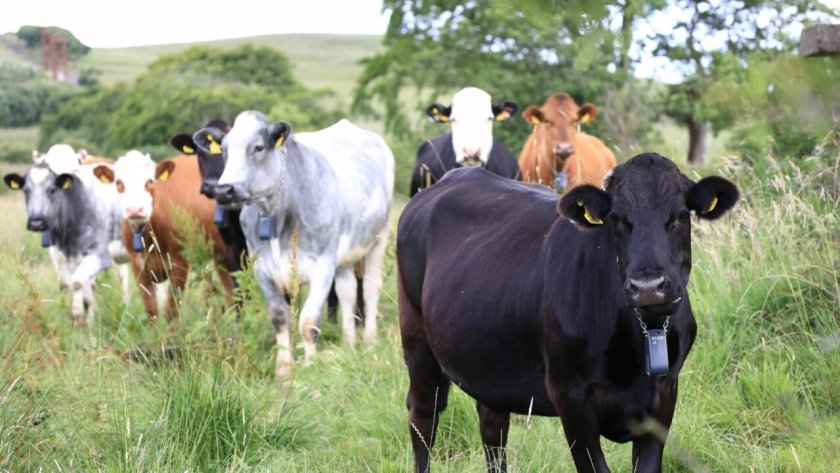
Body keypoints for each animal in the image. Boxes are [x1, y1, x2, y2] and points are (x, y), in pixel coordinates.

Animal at [92, 150, 236, 320]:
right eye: (119, 183)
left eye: (150, 181)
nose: (135, 210)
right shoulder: (138, 265)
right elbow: (151, 310)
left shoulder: (179, 263)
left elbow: (171, 311)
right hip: (220, 255)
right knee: (230, 290)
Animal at [195, 109, 396, 376]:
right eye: (225, 150)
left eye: (258, 147)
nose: (223, 190)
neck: (276, 214)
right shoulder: (263, 269)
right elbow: (280, 318)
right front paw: (283, 369)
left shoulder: (322, 265)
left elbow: (308, 321)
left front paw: (310, 363)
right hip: (344, 253)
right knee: (348, 291)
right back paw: (349, 342)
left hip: (378, 238)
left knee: (371, 287)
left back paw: (370, 340)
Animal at [398, 152, 740, 472]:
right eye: (616, 218)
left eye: (681, 215)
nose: (647, 286)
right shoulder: (571, 398)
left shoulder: (664, 398)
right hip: (416, 340)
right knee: (423, 418)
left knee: (492, 425)